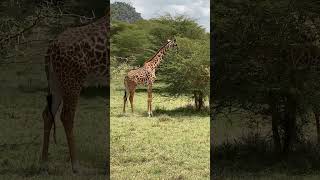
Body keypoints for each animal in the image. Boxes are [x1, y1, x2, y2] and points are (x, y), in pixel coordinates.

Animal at [39, 13, 110, 174]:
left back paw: (44, 163)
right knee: (66, 116)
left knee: (48, 113)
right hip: (73, 79)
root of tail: (51, 48)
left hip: (56, 81)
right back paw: (76, 166)